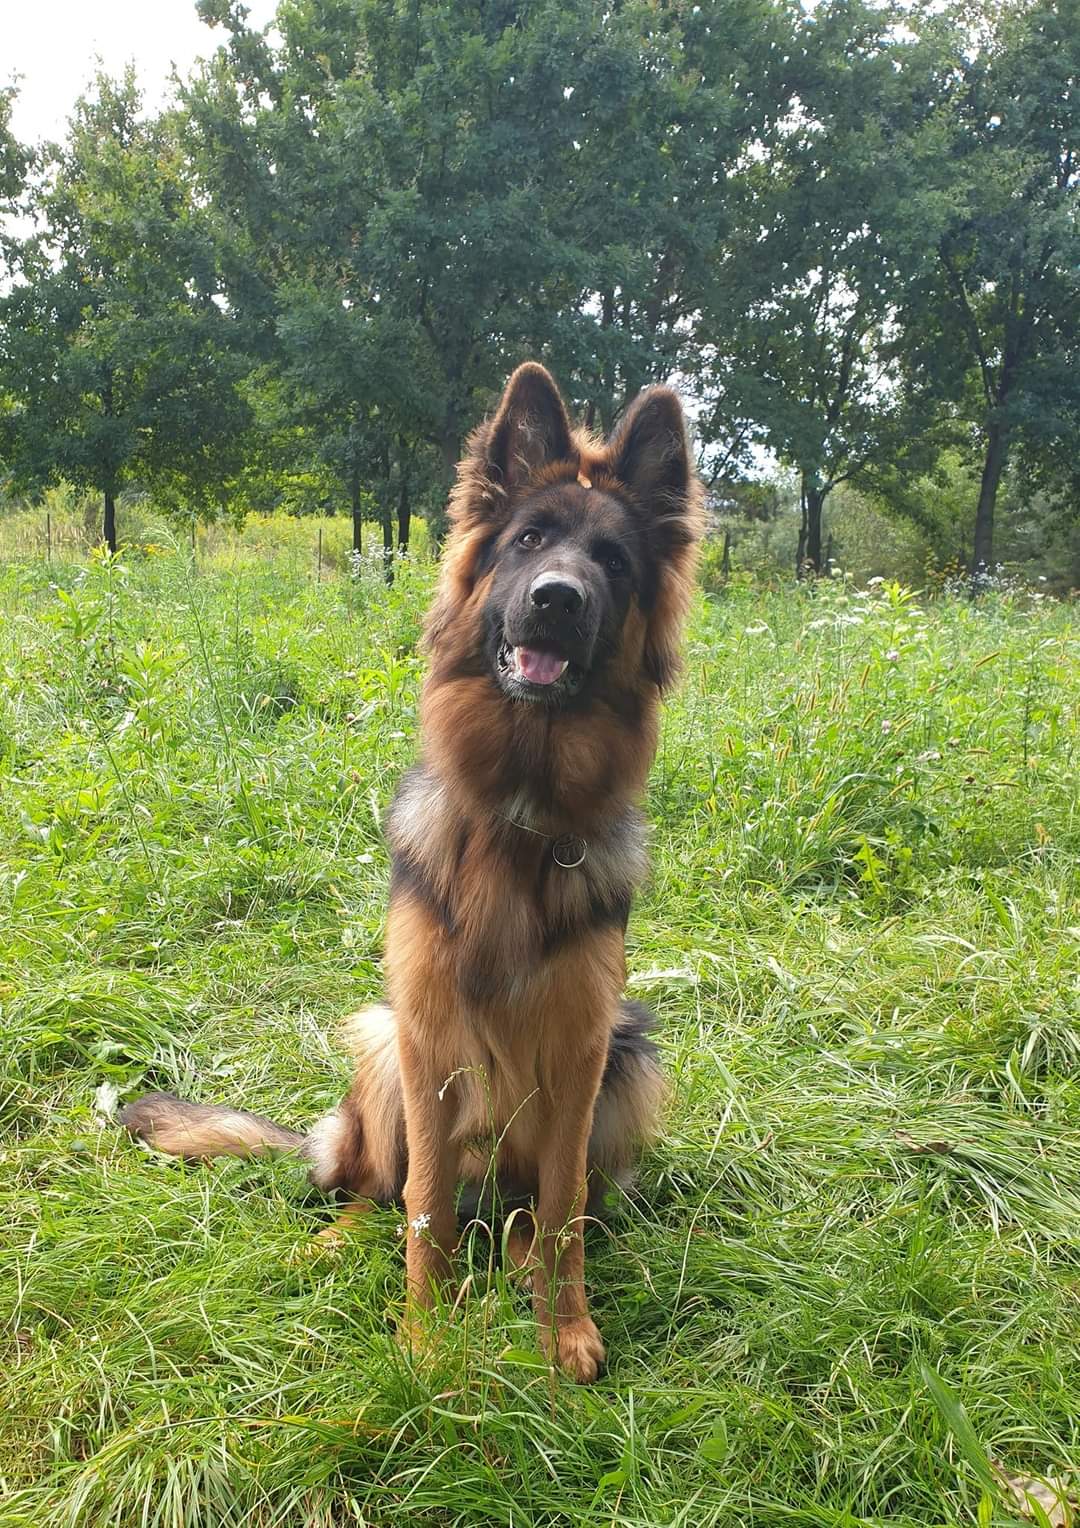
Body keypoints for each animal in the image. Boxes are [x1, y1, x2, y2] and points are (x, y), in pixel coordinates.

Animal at [120, 363, 703, 1381]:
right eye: (528, 540)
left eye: (614, 562)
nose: (559, 598)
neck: (519, 814)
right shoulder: (428, 1040)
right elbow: (423, 1207)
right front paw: (426, 1340)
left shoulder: (584, 1047)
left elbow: (563, 1209)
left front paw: (563, 1329)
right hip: (382, 1044)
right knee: (381, 1193)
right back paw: (339, 1240)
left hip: (630, 1057)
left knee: (535, 1208)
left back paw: (515, 1252)